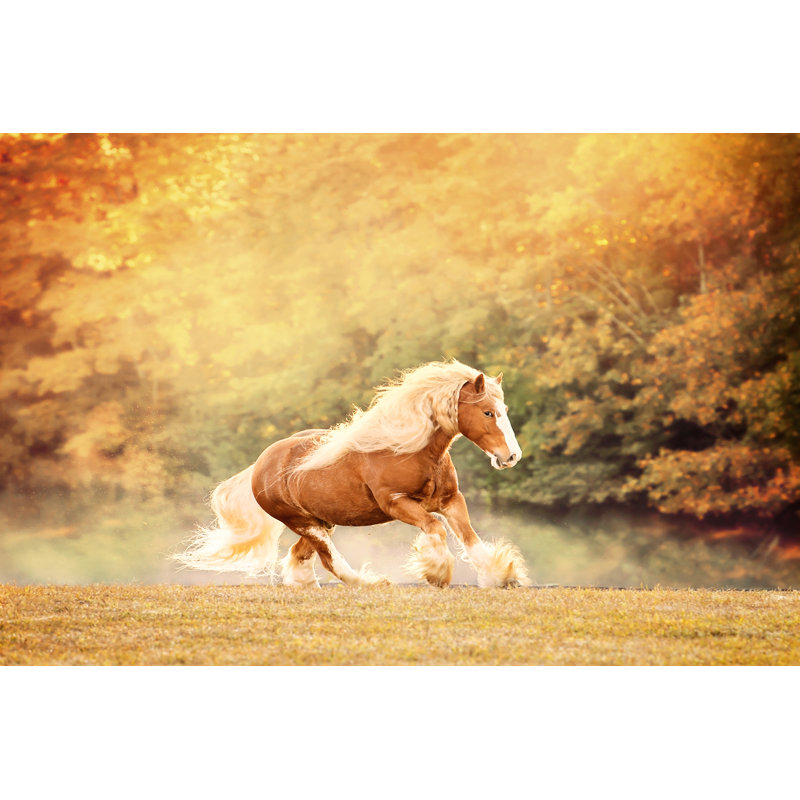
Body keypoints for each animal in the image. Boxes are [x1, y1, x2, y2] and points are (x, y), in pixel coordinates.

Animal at [173, 360, 529, 588]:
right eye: (487, 412)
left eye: (504, 410)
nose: (511, 456)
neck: (409, 449)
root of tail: (259, 465)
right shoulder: (396, 503)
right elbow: (435, 529)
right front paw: (436, 574)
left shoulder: (451, 500)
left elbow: (471, 540)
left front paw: (503, 577)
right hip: (304, 523)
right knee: (328, 559)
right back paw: (370, 583)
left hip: (320, 522)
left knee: (299, 555)